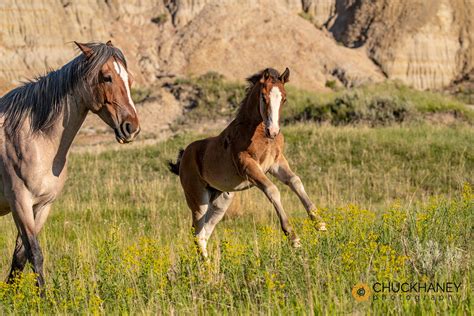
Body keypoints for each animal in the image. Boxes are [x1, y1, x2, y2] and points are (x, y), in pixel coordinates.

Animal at [0, 40, 140, 288]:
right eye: (107, 77)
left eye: (129, 79)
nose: (131, 127)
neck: (34, 137)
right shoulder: (20, 203)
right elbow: (35, 254)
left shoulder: (42, 206)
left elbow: (20, 257)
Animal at [168, 67, 328, 256]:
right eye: (263, 97)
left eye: (284, 98)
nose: (273, 131)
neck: (259, 134)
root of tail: (184, 157)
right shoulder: (249, 167)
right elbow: (272, 190)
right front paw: (293, 237)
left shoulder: (276, 163)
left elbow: (295, 181)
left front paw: (319, 223)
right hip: (198, 201)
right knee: (198, 235)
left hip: (220, 202)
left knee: (205, 233)